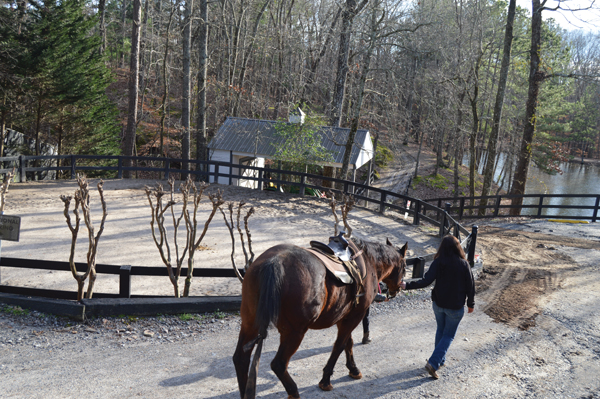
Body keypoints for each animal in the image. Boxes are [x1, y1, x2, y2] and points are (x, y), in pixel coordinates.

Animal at [232, 239, 406, 398]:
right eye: (404, 267)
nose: (398, 288)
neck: (368, 263)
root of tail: (274, 262)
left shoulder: (345, 316)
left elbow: (347, 343)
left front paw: (353, 369)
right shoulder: (356, 315)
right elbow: (339, 346)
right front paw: (326, 380)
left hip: (250, 324)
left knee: (241, 359)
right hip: (294, 332)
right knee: (279, 364)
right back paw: (293, 391)